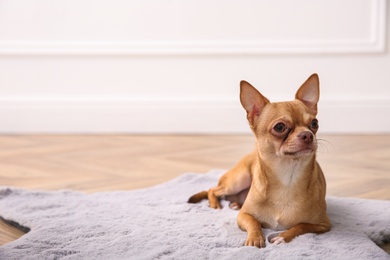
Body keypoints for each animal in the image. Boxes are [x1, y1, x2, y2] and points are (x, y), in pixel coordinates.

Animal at [187, 73, 330, 248]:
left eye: (314, 123)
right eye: (280, 127)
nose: (307, 135)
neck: (287, 178)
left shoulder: (323, 225)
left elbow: (301, 226)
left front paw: (282, 237)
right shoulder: (243, 216)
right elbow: (253, 222)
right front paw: (255, 238)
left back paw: (235, 204)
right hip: (237, 180)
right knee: (212, 189)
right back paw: (216, 204)